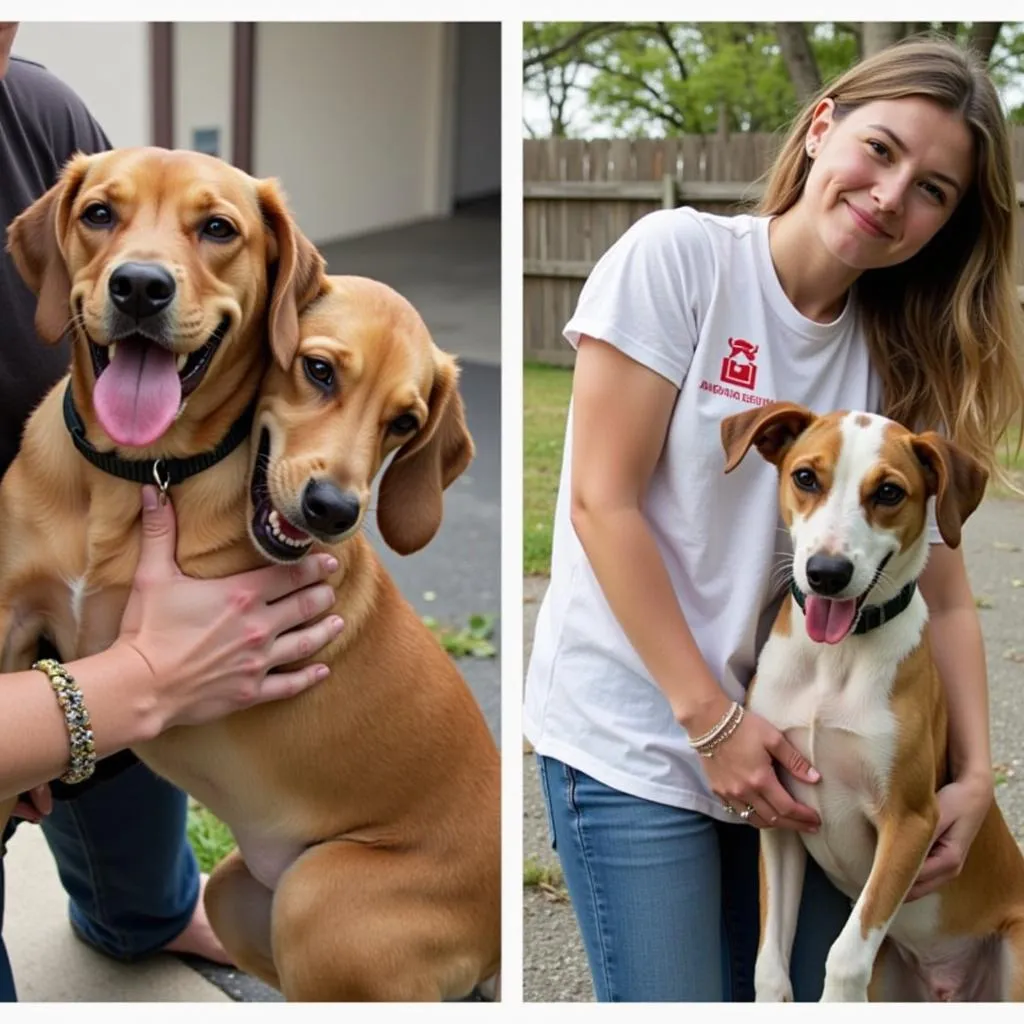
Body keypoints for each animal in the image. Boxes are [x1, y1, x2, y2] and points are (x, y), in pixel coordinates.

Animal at [3, 151, 499, 999]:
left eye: (406, 423)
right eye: (99, 214)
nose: (333, 510)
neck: (136, 476)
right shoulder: (12, 616)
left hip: (319, 902)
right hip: (241, 897)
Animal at [720, 403, 1024, 1003]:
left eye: (888, 492)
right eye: (805, 477)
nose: (827, 574)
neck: (833, 661)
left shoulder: (911, 822)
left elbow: (843, 958)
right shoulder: (780, 819)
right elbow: (771, 964)